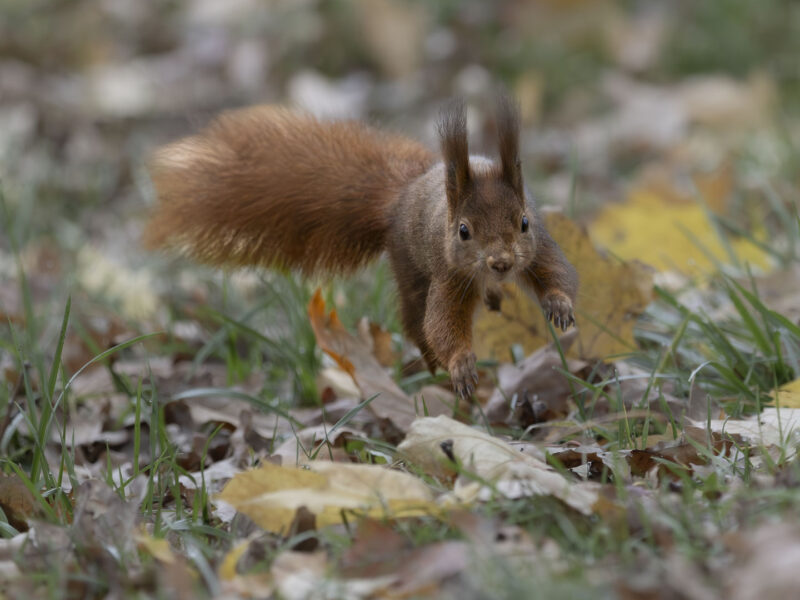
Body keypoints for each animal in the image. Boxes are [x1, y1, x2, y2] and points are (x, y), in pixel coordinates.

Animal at [144, 98, 578, 398]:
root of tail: (401, 195)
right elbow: (441, 324)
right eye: (463, 232)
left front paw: (559, 304)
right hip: (408, 264)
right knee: (414, 317)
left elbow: (558, 271)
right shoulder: (450, 275)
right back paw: (433, 363)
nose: (500, 263)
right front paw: (460, 364)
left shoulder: (538, 244)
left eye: (523, 222)